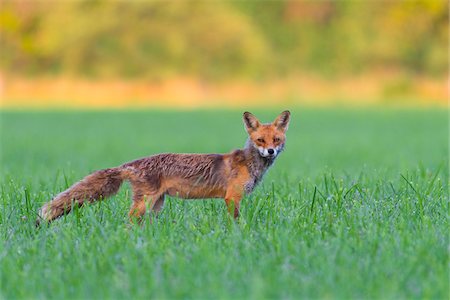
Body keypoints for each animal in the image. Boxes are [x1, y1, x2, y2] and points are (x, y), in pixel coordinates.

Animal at [37, 111, 292, 226]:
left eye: (276, 140)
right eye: (260, 141)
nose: (270, 151)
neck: (249, 163)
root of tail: (131, 163)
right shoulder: (232, 197)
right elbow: (236, 222)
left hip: (156, 205)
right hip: (145, 202)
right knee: (129, 222)